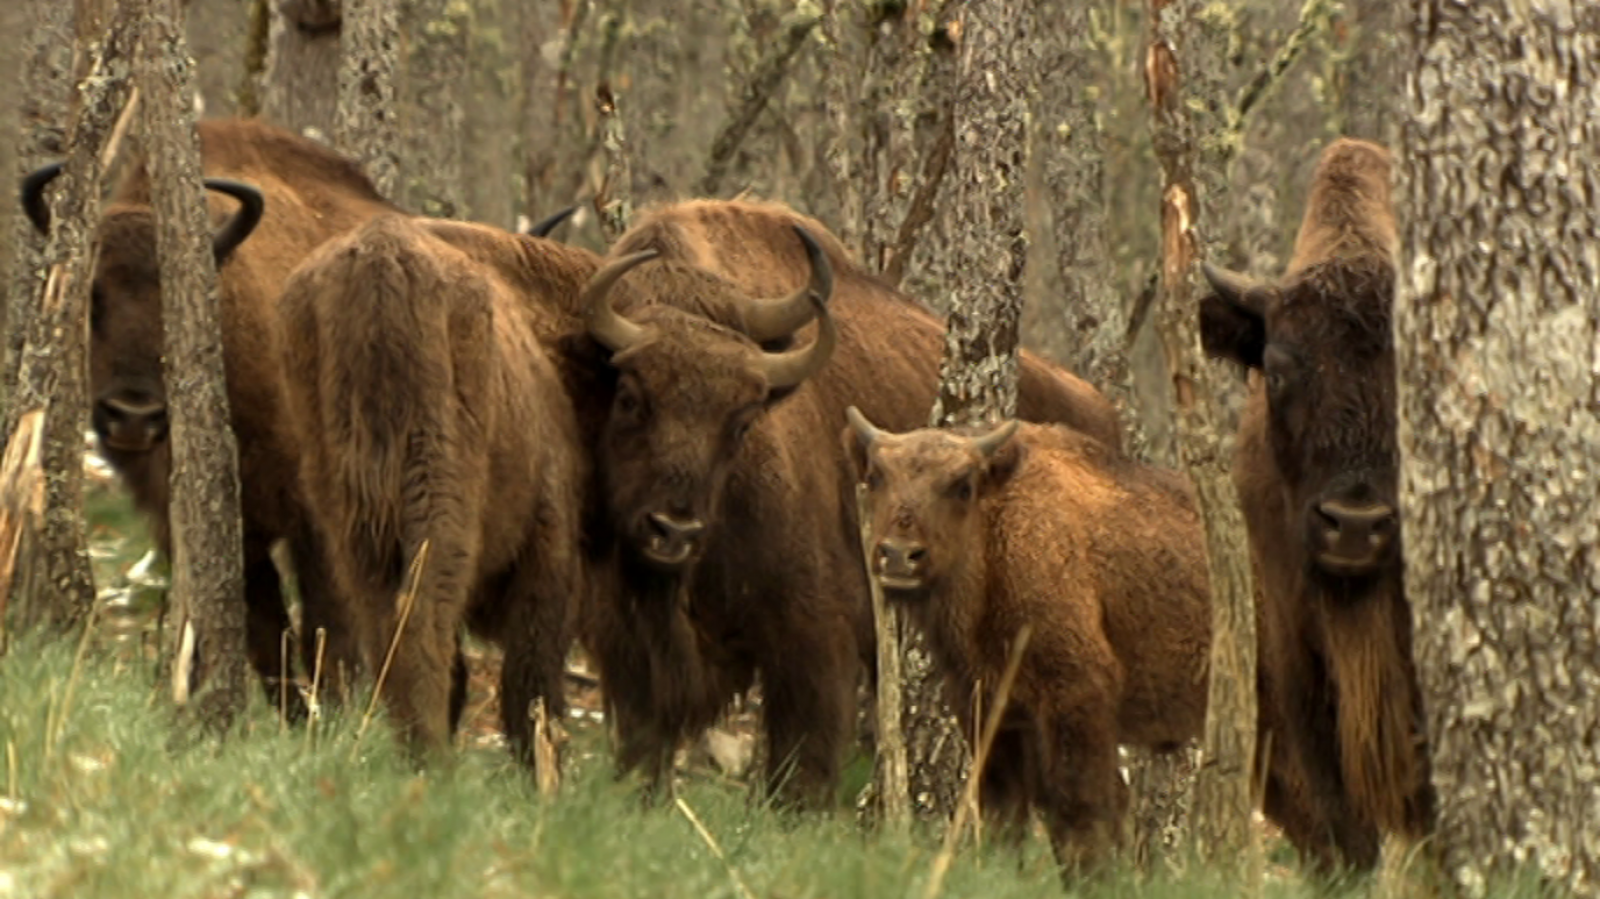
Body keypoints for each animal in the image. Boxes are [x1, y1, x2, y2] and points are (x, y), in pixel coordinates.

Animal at [20, 117, 400, 707]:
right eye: (90, 296)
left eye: (179, 300)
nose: (133, 415)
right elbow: (265, 637)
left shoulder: (315, 518)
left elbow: (326, 629)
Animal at [276, 212, 588, 758]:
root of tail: (380, 261)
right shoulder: (550, 538)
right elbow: (532, 677)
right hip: (440, 496)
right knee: (422, 618)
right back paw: (435, 761)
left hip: (350, 514)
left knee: (383, 624)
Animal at [844, 409, 1203, 870]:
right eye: (875, 476)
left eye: (962, 485)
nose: (898, 555)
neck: (997, 527)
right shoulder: (990, 713)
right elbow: (1007, 813)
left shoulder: (1077, 701)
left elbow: (1081, 812)